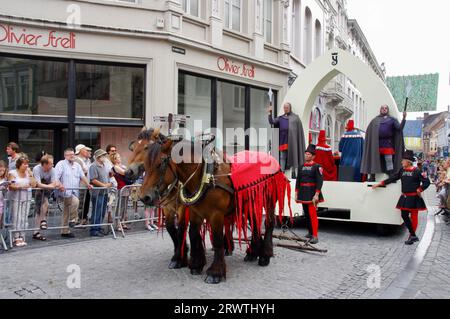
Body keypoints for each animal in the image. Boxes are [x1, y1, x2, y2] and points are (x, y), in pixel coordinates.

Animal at [142, 131, 282, 286]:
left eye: (160, 164)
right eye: (145, 164)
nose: (144, 197)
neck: (204, 176)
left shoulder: (215, 215)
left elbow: (217, 240)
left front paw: (215, 272)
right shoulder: (194, 212)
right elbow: (192, 234)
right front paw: (196, 264)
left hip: (268, 201)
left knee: (268, 224)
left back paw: (264, 256)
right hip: (249, 203)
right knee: (256, 225)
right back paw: (252, 253)